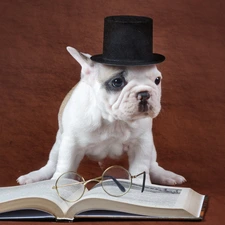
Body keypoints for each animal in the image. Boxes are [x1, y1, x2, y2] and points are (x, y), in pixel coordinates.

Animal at [17, 46, 186, 185]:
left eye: (157, 80)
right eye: (117, 82)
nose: (144, 93)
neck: (114, 121)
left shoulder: (142, 143)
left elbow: (140, 167)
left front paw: (141, 186)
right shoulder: (72, 144)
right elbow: (65, 166)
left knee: (153, 165)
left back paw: (166, 176)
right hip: (58, 143)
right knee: (52, 163)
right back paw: (35, 177)